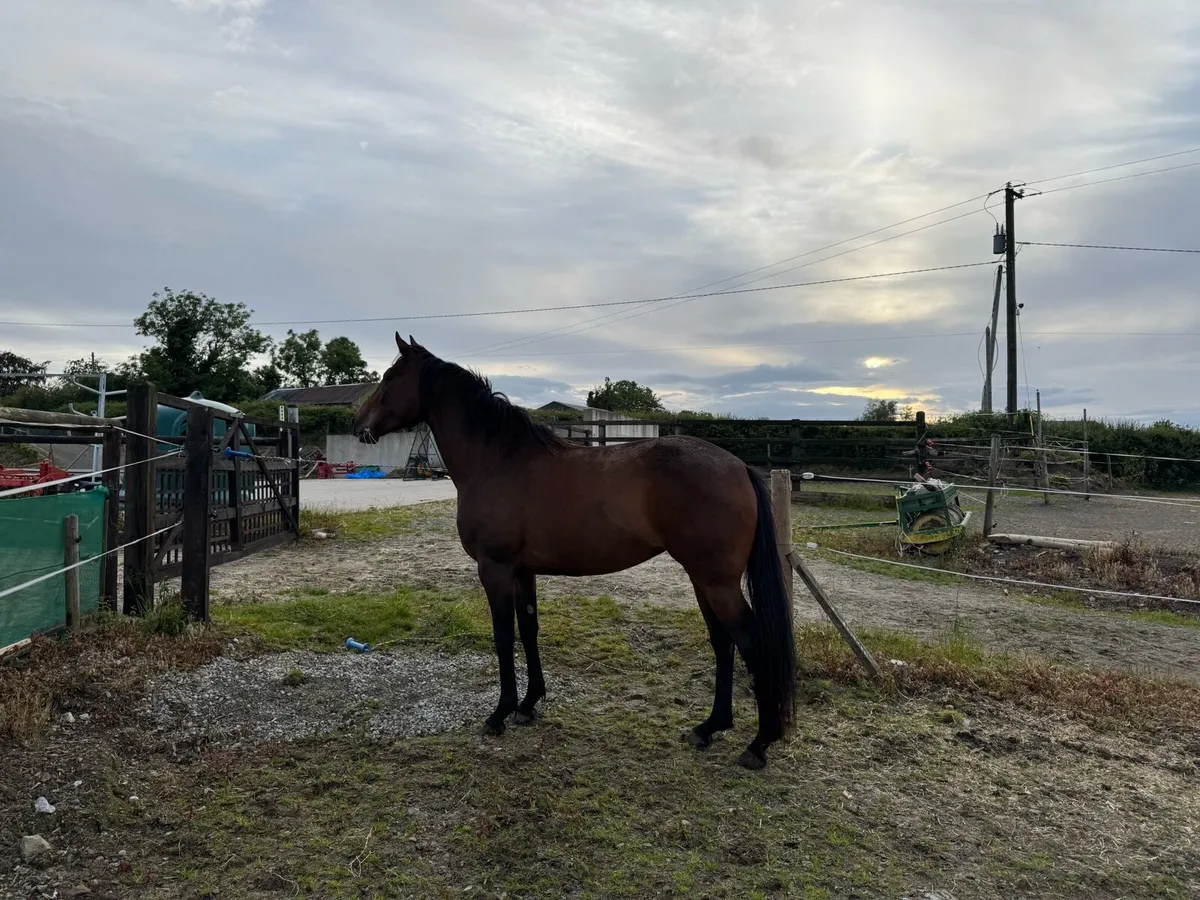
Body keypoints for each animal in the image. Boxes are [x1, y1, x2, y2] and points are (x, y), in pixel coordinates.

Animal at [353, 333, 797, 770]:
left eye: (389, 377)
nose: (358, 424)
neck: (497, 460)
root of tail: (739, 467)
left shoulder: (495, 568)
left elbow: (503, 636)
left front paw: (499, 714)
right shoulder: (522, 570)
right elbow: (528, 629)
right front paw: (528, 705)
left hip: (716, 581)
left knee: (750, 641)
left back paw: (759, 744)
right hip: (704, 579)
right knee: (723, 642)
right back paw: (709, 727)